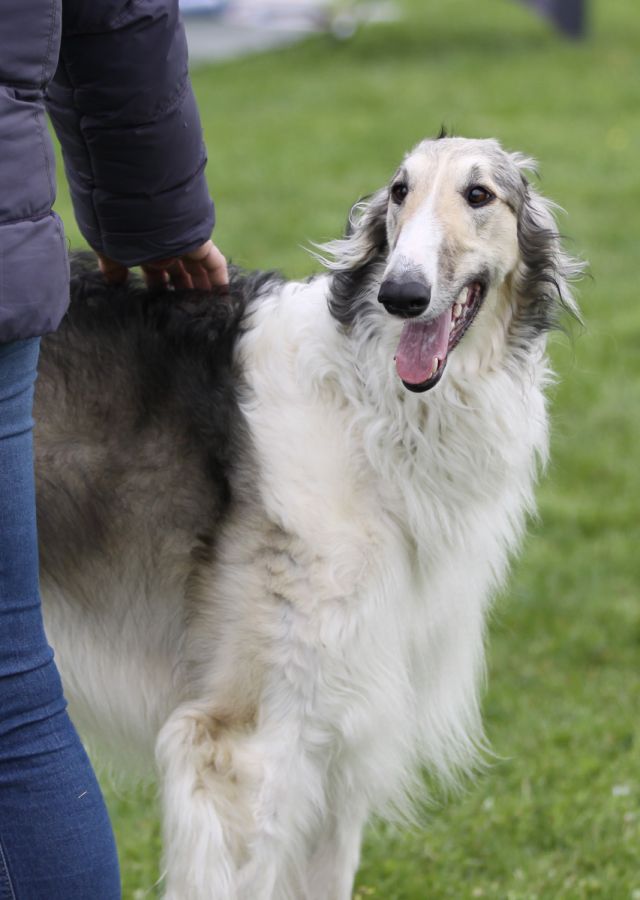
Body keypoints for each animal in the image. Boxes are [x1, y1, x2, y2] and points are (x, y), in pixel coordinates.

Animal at [35, 135, 583, 899]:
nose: (401, 294)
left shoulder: (337, 734)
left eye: (479, 194)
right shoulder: (242, 744)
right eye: (399, 191)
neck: (371, 414)